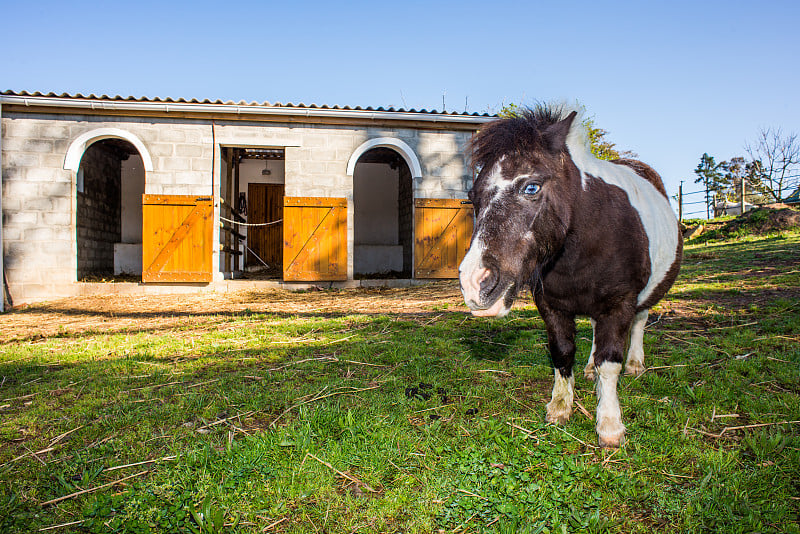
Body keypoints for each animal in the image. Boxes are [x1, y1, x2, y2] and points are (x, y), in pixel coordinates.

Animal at [460, 104, 684, 448]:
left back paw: (635, 363)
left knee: (640, 322)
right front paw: (560, 407)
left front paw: (609, 425)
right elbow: (562, 354)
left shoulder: (619, 303)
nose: (475, 283)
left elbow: (610, 362)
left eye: (531, 187)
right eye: (473, 197)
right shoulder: (551, 306)